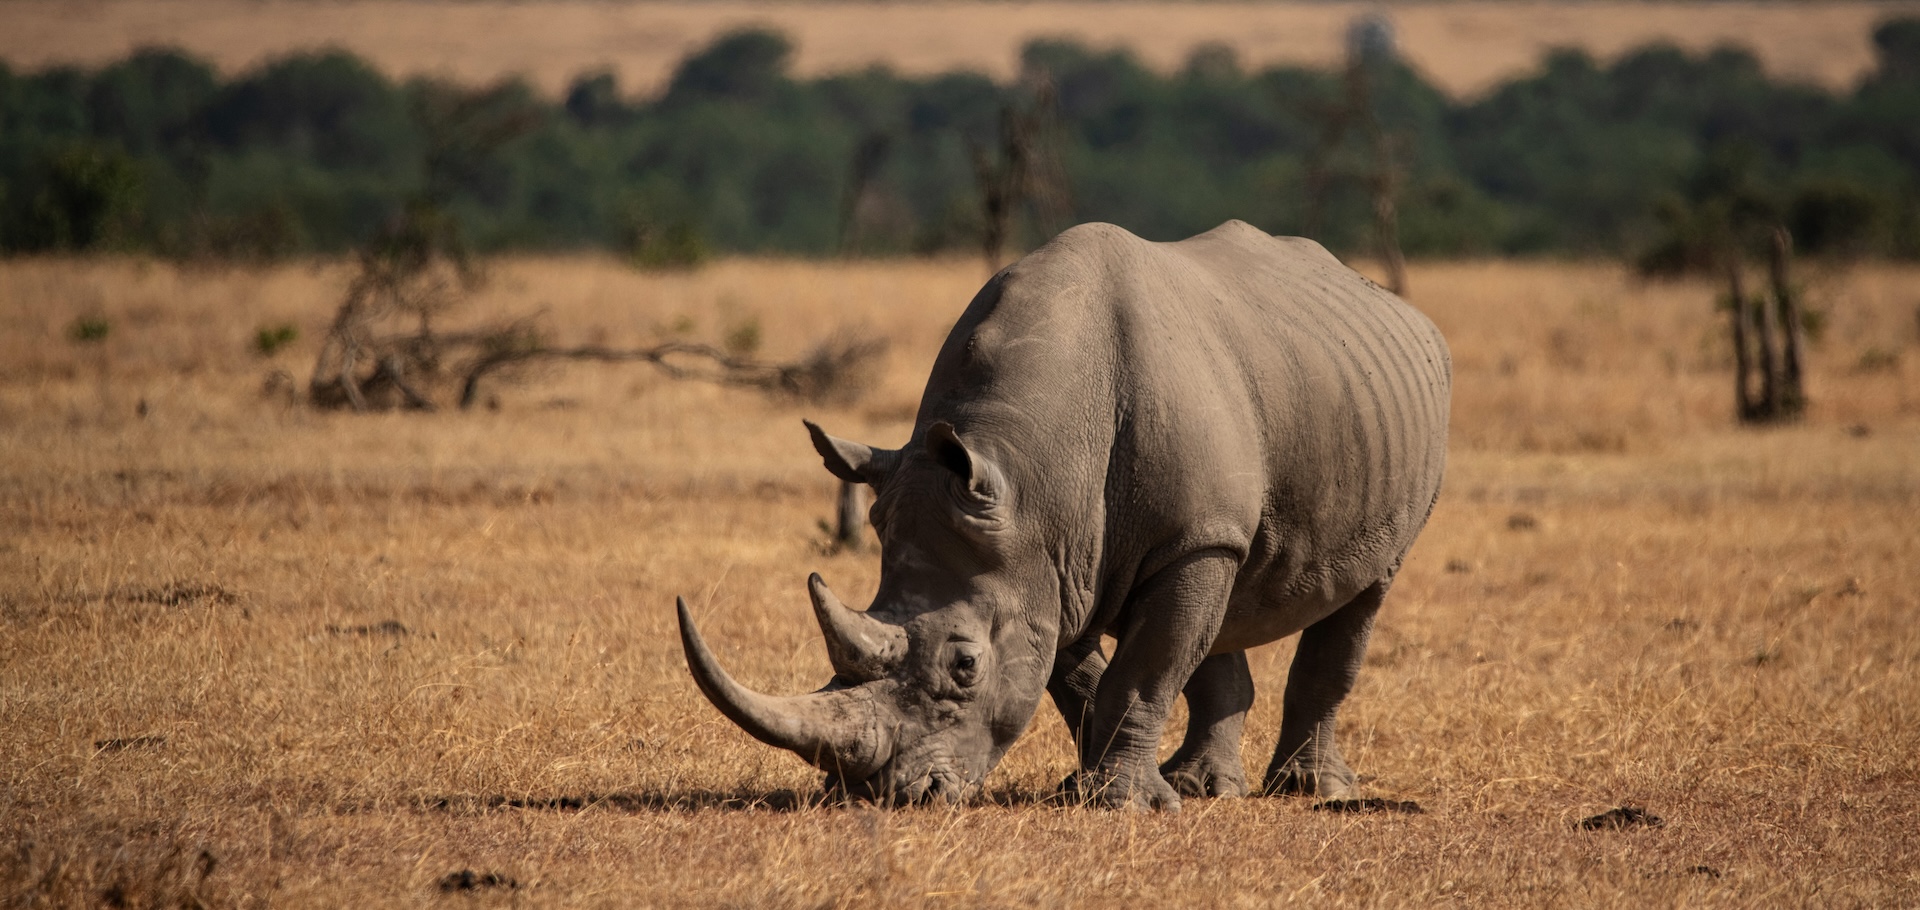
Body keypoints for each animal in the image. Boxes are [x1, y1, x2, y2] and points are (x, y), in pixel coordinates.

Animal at [676, 220, 1450, 810]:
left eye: (964, 665)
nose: (885, 796)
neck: (1030, 465)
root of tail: (1396, 307)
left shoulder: (1162, 539)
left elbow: (1143, 669)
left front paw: (1126, 805)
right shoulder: (1049, 555)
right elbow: (1081, 677)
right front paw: (1091, 789)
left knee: (1363, 594)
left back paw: (1312, 792)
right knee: (1223, 610)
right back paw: (1203, 788)